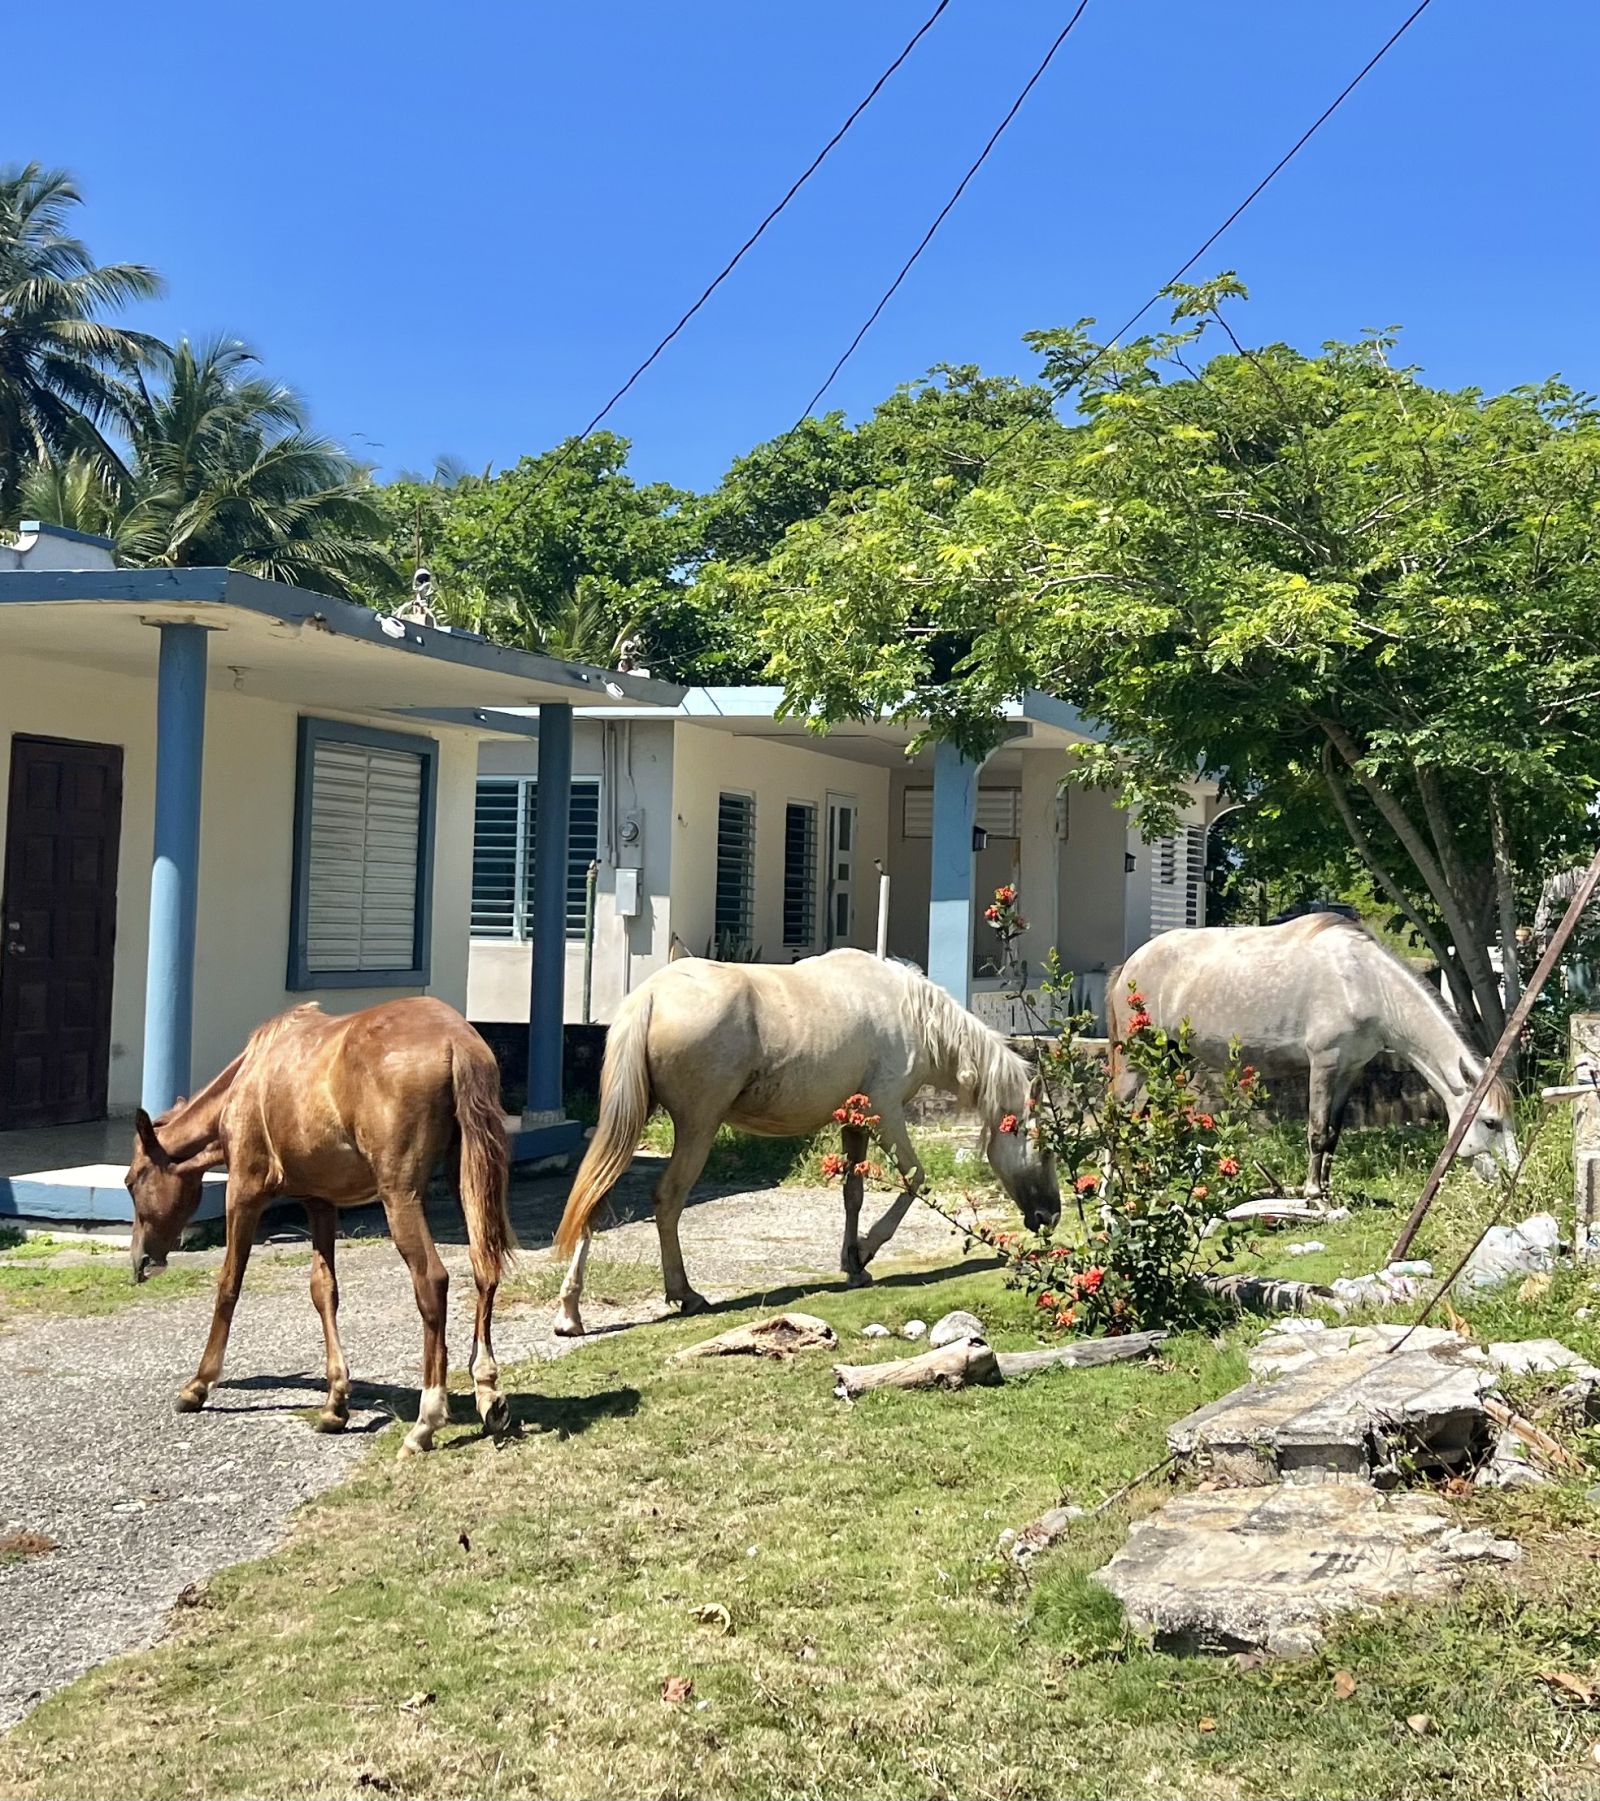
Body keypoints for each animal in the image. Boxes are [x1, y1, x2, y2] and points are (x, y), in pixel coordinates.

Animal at [125, 997, 514, 1455]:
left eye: (131, 1181)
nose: (141, 1261)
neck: (248, 1080)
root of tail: (456, 1039)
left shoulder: (243, 1193)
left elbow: (228, 1286)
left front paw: (199, 1384)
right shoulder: (320, 1203)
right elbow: (324, 1291)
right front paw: (335, 1403)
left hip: (400, 1196)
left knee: (432, 1281)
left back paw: (426, 1420)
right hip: (467, 1179)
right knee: (484, 1270)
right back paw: (488, 1392)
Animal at [550, 949, 1059, 1336]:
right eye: (1046, 1147)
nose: (1050, 1216)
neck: (910, 1012)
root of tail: (651, 995)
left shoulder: (856, 1122)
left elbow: (853, 1193)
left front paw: (854, 1264)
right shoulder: (887, 1111)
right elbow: (915, 1177)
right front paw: (866, 1250)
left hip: (630, 1122)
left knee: (594, 1198)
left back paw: (570, 1313)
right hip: (697, 1127)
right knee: (668, 1199)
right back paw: (685, 1294)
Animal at [1110, 915, 1520, 1198]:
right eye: (1490, 1122)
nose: (1512, 1176)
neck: (1364, 983)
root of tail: (1129, 964)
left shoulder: (1351, 1069)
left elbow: (1334, 1133)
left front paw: (1325, 1189)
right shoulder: (1323, 1064)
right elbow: (1318, 1131)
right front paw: (1312, 1194)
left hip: (1169, 1058)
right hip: (1135, 1061)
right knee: (1118, 1116)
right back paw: (1113, 1187)